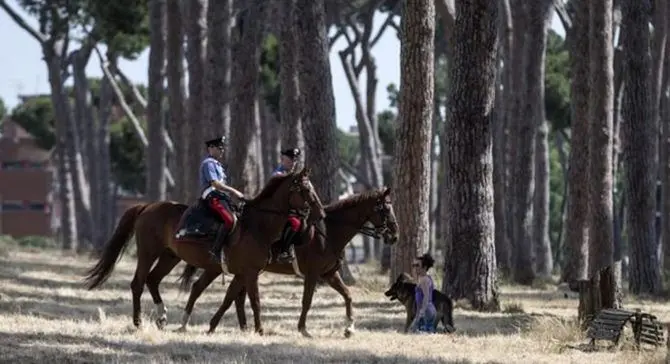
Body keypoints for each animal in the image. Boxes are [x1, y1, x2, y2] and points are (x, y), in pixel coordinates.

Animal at [83, 167, 326, 332]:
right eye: (305, 189)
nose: (321, 213)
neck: (257, 225)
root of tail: (147, 206)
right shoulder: (249, 272)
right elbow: (254, 300)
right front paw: (259, 330)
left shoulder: (241, 273)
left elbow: (230, 297)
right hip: (148, 252)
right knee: (138, 282)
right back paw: (138, 322)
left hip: (170, 256)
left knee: (153, 280)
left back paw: (162, 317)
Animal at [178, 188, 400, 338]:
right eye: (386, 208)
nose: (395, 236)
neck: (329, 231)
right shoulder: (313, 274)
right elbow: (307, 301)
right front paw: (302, 329)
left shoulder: (330, 274)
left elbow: (348, 296)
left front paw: (349, 328)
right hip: (225, 268)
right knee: (205, 288)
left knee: (220, 292)